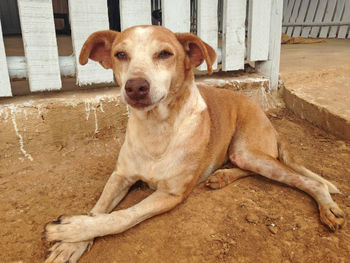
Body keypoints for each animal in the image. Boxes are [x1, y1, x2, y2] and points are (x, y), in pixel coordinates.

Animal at [43, 25, 344, 263]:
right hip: (244, 155)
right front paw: (71, 244)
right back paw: (221, 177)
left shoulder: (171, 194)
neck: (157, 130)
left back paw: (327, 207)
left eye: (165, 54)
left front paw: (69, 229)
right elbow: (98, 209)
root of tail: (263, 113)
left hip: (248, 151)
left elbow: (121, 217)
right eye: (120, 55)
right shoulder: (120, 176)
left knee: (309, 181)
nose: (135, 87)